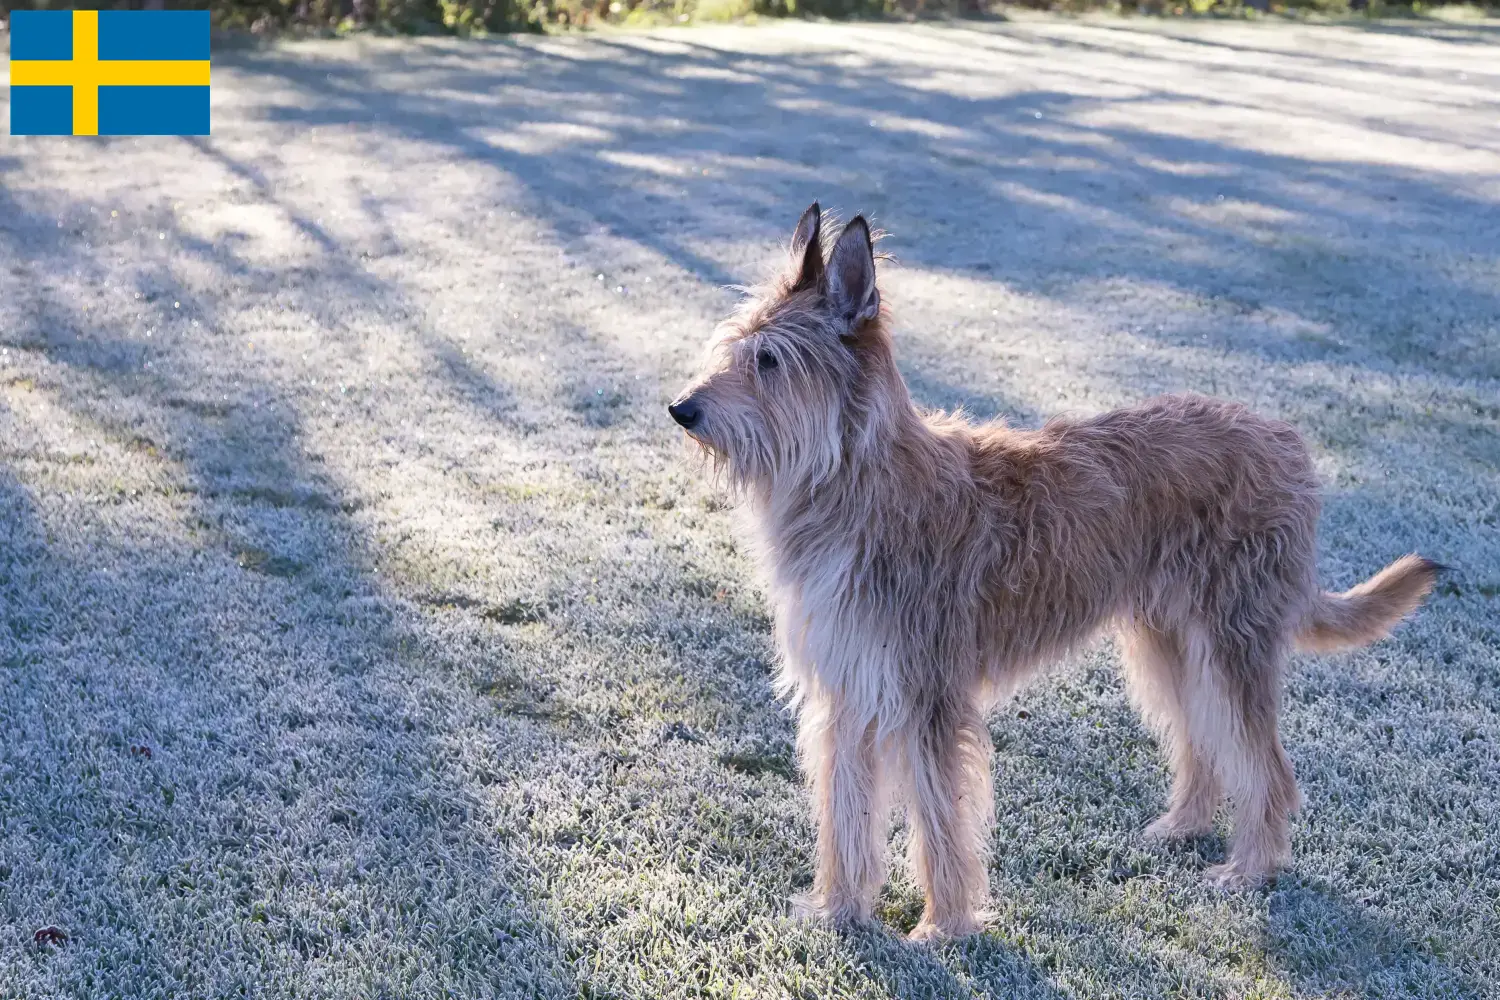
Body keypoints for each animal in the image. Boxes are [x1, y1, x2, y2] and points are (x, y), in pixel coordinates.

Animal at [672, 205, 1440, 947]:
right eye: (737, 350)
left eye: (770, 360)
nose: (683, 409)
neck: (858, 481)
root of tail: (1286, 440)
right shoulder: (849, 693)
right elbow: (845, 813)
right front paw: (838, 912)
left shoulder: (927, 697)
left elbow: (941, 821)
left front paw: (942, 927)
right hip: (1168, 644)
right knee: (1203, 744)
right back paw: (1181, 829)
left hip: (1229, 646)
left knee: (1265, 766)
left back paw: (1249, 870)